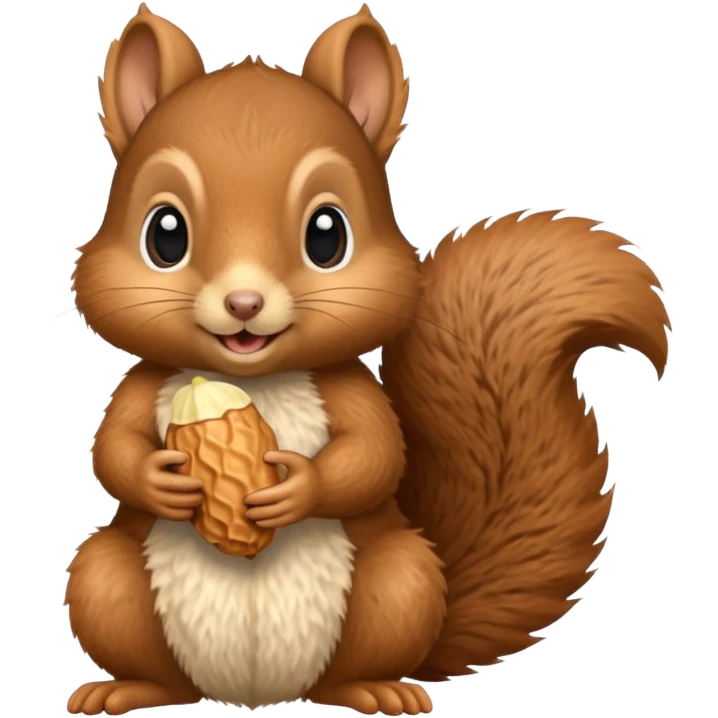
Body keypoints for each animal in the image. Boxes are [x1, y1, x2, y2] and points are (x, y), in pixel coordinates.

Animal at [64, 3, 672, 717]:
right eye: (165, 235)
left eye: (328, 236)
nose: (244, 303)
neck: (246, 378)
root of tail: (254, 695)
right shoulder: (140, 387)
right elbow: (113, 451)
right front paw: (160, 479)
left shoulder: (352, 390)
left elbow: (375, 455)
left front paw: (296, 487)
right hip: (105, 585)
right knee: (143, 645)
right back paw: (128, 687)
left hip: (401, 583)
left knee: (357, 658)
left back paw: (376, 688)